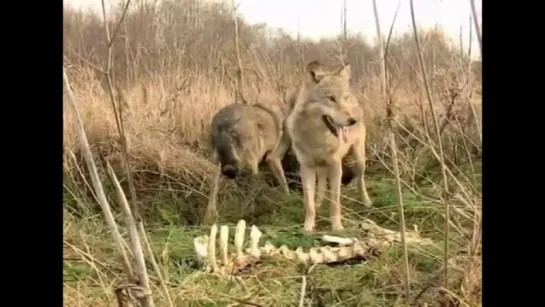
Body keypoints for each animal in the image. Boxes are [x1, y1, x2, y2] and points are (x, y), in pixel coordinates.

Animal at [270, 60, 372, 233]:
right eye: (330, 98)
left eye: (344, 98)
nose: (352, 120)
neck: (318, 139)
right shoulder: (306, 168)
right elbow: (309, 203)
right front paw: (308, 227)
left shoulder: (336, 166)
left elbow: (335, 203)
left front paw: (337, 227)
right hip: (320, 167)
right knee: (322, 184)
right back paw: (318, 202)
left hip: (359, 160)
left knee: (360, 180)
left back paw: (366, 201)